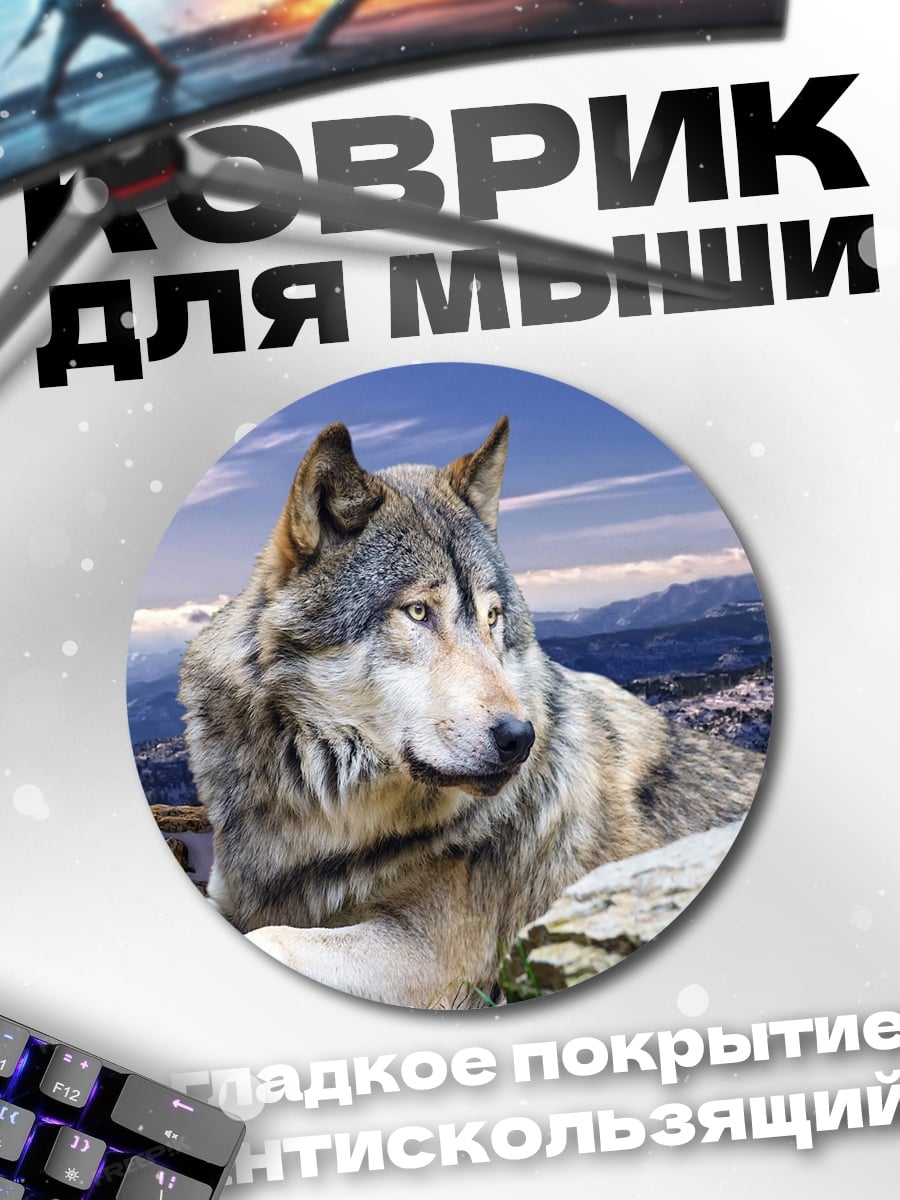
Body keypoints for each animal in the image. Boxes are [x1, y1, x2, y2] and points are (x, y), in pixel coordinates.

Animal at [179, 417, 764, 1008]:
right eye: (418, 611)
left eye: (492, 617)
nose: (519, 738)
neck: (318, 816)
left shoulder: (433, 961)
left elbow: (271, 937)